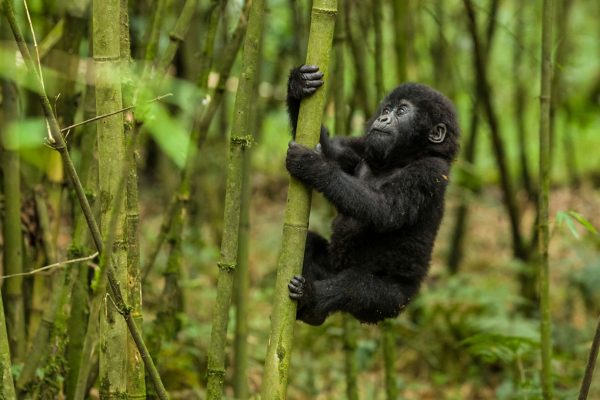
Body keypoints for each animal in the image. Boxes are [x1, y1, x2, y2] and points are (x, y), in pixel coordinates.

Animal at [286, 65, 460, 324]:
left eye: (401, 111)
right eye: (386, 109)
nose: (383, 118)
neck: (402, 159)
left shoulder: (431, 171)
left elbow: (384, 209)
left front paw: (313, 165)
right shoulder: (362, 147)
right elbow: (329, 148)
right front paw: (299, 84)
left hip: (392, 303)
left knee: (356, 287)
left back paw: (312, 299)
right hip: (332, 267)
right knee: (309, 244)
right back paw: (312, 312)